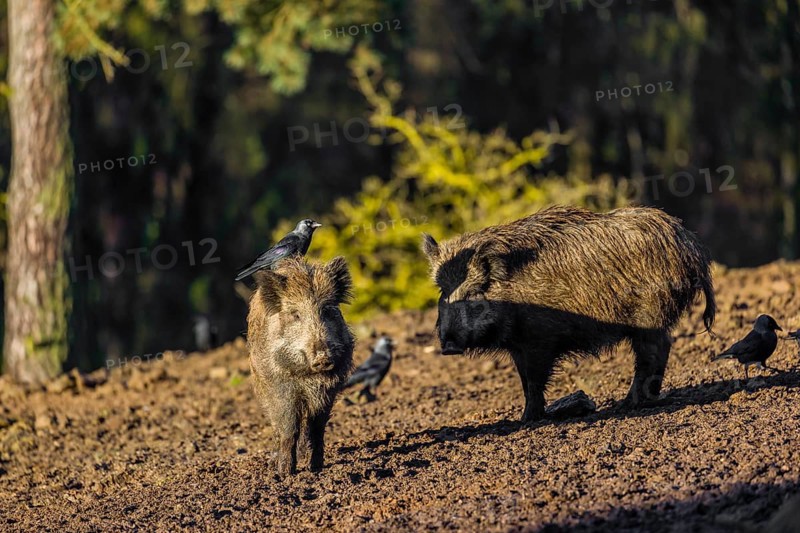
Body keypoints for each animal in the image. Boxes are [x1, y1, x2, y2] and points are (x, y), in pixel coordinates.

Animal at [247, 256, 355, 476]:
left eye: (327, 310)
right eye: (296, 314)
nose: (322, 357)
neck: (308, 378)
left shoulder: (328, 390)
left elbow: (317, 428)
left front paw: (316, 468)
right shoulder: (282, 388)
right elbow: (289, 428)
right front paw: (285, 473)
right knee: (278, 425)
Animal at [422, 205, 716, 423]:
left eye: (474, 292)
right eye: (442, 291)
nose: (448, 345)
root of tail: (690, 244)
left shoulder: (539, 340)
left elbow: (534, 380)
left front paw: (526, 420)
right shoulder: (519, 346)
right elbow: (525, 381)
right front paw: (527, 418)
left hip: (649, 318)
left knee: (655, 352)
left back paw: (628, 404)